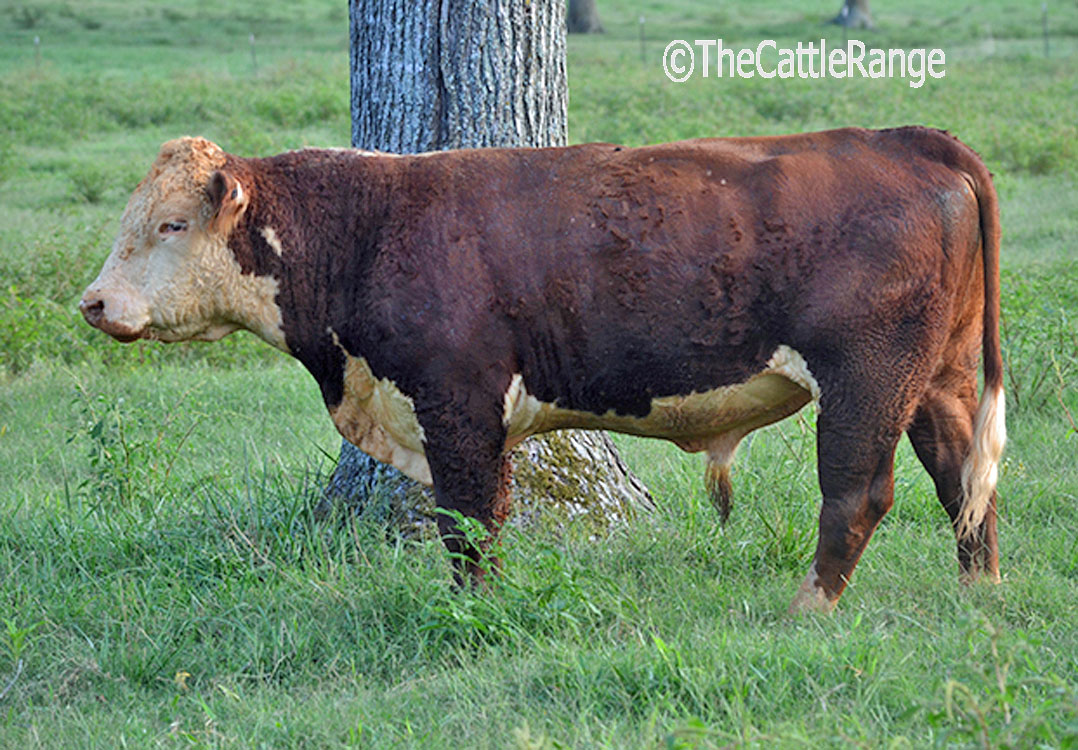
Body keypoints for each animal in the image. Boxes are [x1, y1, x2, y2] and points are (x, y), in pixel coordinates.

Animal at [80, 127, 1005, 613]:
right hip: (941, 378)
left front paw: (470, 614)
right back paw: (980, 592)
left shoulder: (456, 402)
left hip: (866, 377)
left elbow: (468, 519)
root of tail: (906, 142)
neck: (368, 230)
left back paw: (807, 608)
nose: (93, 302)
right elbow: (478, 516)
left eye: (170, 224)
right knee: (964, 477)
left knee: (858, 491)